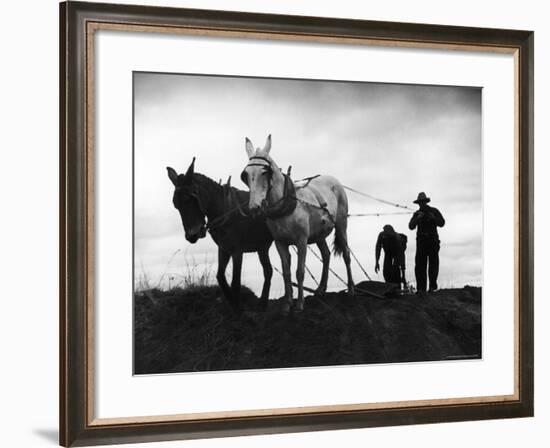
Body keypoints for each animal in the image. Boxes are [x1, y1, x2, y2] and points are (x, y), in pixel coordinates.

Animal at [243, 135, 358, 314]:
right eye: (246, 175)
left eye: (265, 172)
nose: (254, 207)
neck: (284, 207)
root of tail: (334, 180)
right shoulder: (280, 243)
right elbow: (286, 272)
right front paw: (287, 304)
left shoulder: (301, 240)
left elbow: (299, 272)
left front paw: (299, 304)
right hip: (319, 234)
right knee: (326, 255)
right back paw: (321, 289)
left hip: (341, 224)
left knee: (346, 254)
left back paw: (351, 289)